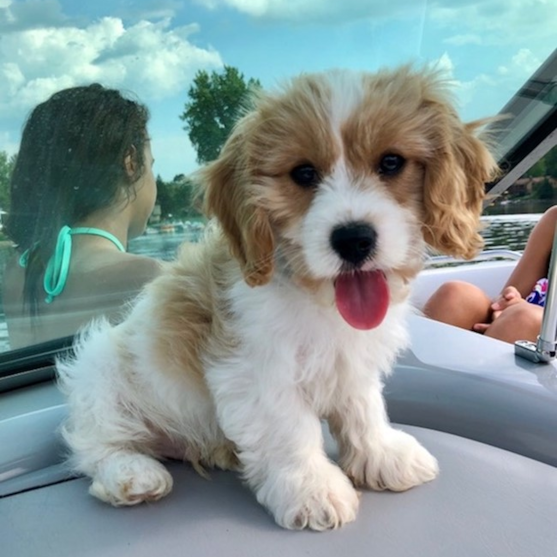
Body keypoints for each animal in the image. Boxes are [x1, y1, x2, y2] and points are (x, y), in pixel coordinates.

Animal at [58, 65, 498, 528]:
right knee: (96, 444)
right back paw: (131, 473)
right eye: (303, 174)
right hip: (99, 372)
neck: (318, 296)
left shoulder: (352, 359)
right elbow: (289, 428)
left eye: (391, 162)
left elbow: (364, 407)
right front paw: (312, 488)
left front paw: (382, 454)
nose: (353, 238)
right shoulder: (254, 368)